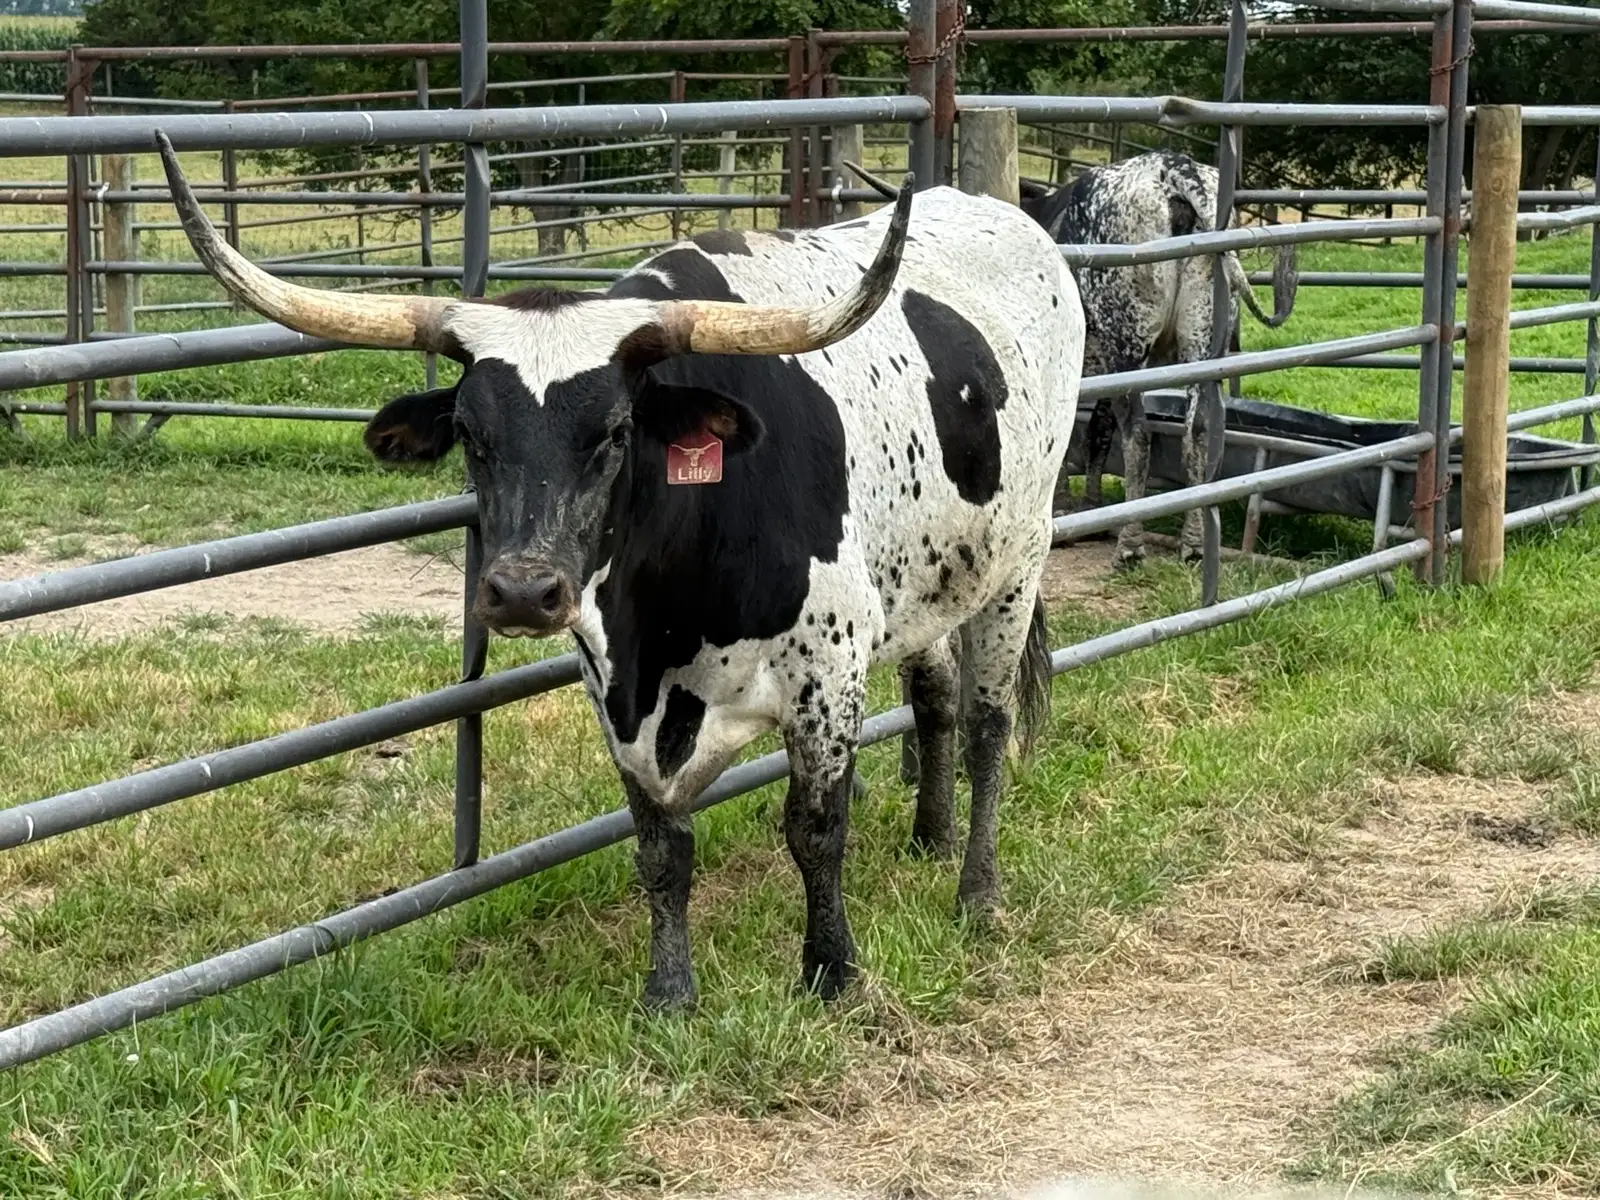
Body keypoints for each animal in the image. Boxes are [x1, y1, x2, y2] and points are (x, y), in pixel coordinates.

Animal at [156, 132, 1086, 1011]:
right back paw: (930, 838)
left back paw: (976, 890)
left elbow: (816, 828)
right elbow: (662, 846)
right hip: (925, 581)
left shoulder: (828, 672)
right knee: (934, 694)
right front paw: (669, 992)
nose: (523, 592)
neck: (666, 620)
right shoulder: (615, 690)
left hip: (1018, 559)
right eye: (471, 436)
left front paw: (831, 970)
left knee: (988, 723)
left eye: (613, 432)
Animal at [1020, 151, 1297, 565]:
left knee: (1138, 434)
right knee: (1196, 432)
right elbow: (1097, 433)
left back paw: (1130, 545)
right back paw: (1193, 542)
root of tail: (1174, 167)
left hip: (1129, 342)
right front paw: (1090, 506)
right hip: (1200, 344)